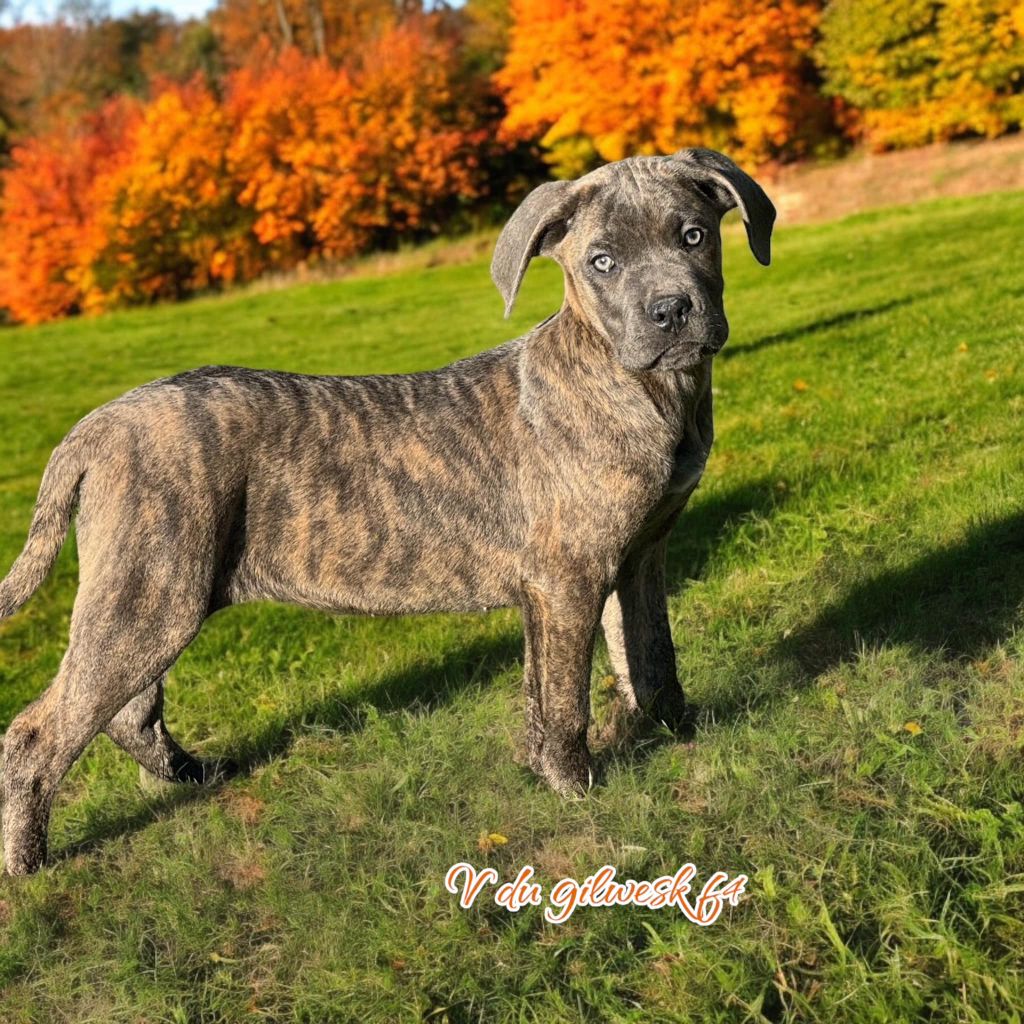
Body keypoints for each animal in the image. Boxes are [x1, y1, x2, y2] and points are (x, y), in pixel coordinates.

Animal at [0, 148, 770, 876]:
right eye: (601, 262)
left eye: (695, 235)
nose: (671, 311)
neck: (640, 387)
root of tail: (96, 425)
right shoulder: (566, 580)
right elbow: (562, 697)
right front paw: (573, 787)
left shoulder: (638, 556)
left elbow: (648, 655)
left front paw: (674, 734)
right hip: (153, 591)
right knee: (39, 734)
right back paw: (28, 864)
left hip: (150, 590)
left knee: (128, 712)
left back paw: (190, 773)